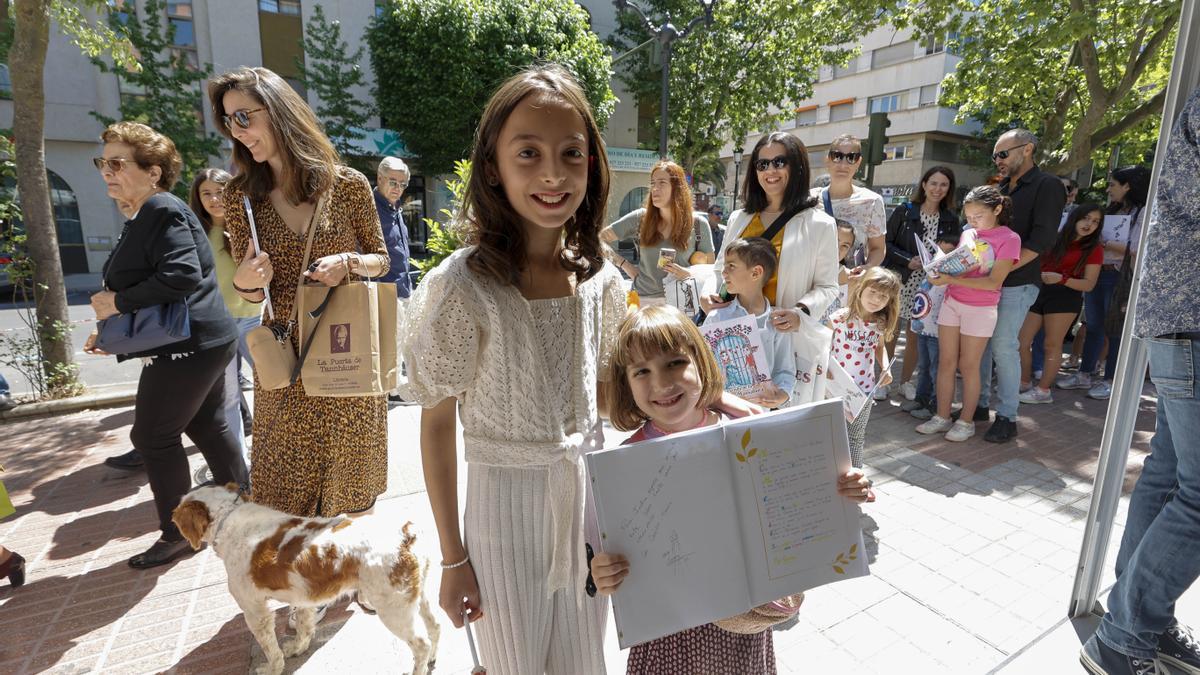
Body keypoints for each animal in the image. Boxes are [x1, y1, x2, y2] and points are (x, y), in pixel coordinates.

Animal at [174, 482, 441, 672]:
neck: (228, 516)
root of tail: (405, 535)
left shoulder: (255, 611)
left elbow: (270, 648)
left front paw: (272, 668)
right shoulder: (302, 595)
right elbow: (303, 627)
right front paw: (297, 648)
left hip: (394, 610)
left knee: (421, 645)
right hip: (418, 597)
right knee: (435, 627)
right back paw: (433, 658)